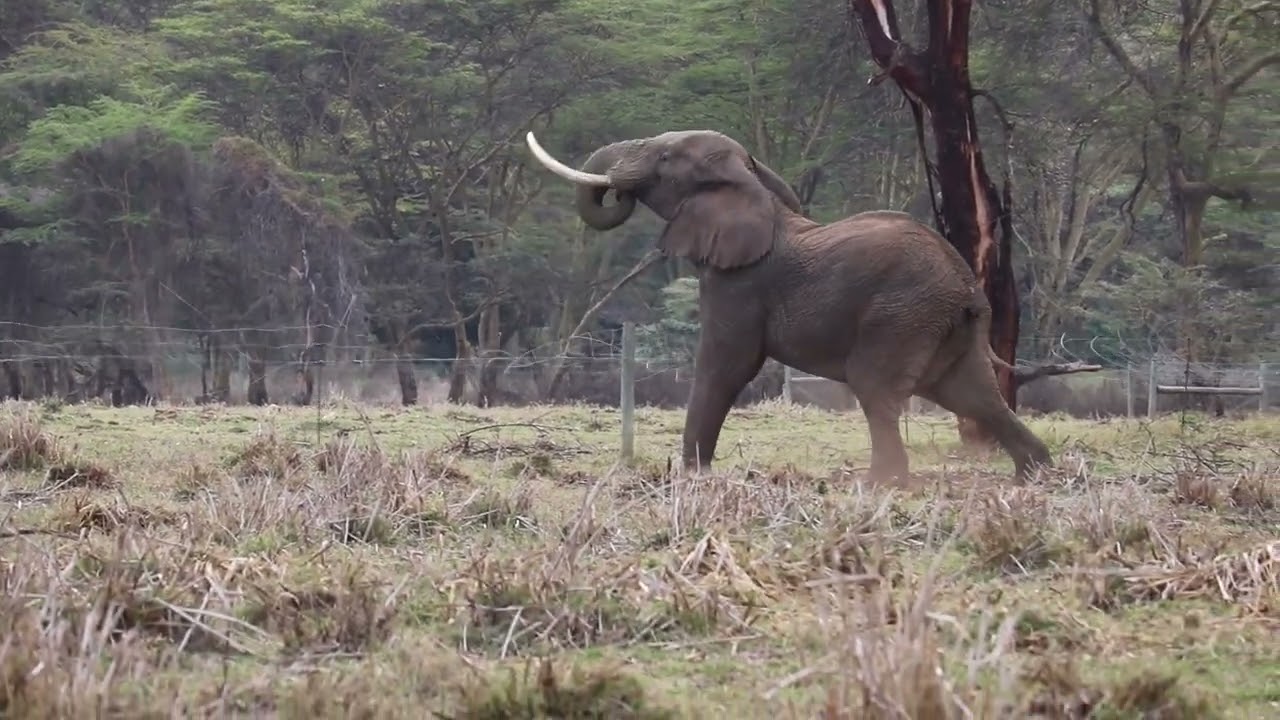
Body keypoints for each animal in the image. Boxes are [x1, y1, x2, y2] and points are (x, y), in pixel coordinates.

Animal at [525, 129, 1052, 483]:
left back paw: (880, 486)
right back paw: (1035, 475)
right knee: (973, 395)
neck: (750, 182)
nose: (615, 188)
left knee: (877, 387)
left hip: (902, 314)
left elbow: (726, 366)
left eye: (666, 156)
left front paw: (692, 478)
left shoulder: (740, 284)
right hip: (943, 326)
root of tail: (967, 287)